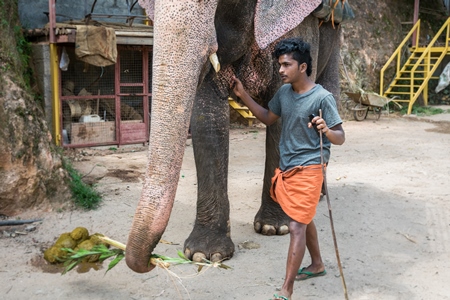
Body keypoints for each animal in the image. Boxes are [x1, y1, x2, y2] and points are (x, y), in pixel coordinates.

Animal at [128, 0, 342, 274]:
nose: (151, 262)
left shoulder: (302, 24)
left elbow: (283, 112)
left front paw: (275, 228)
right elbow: (206, 116)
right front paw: (204, 254)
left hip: (335, 36)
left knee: (330, 95)